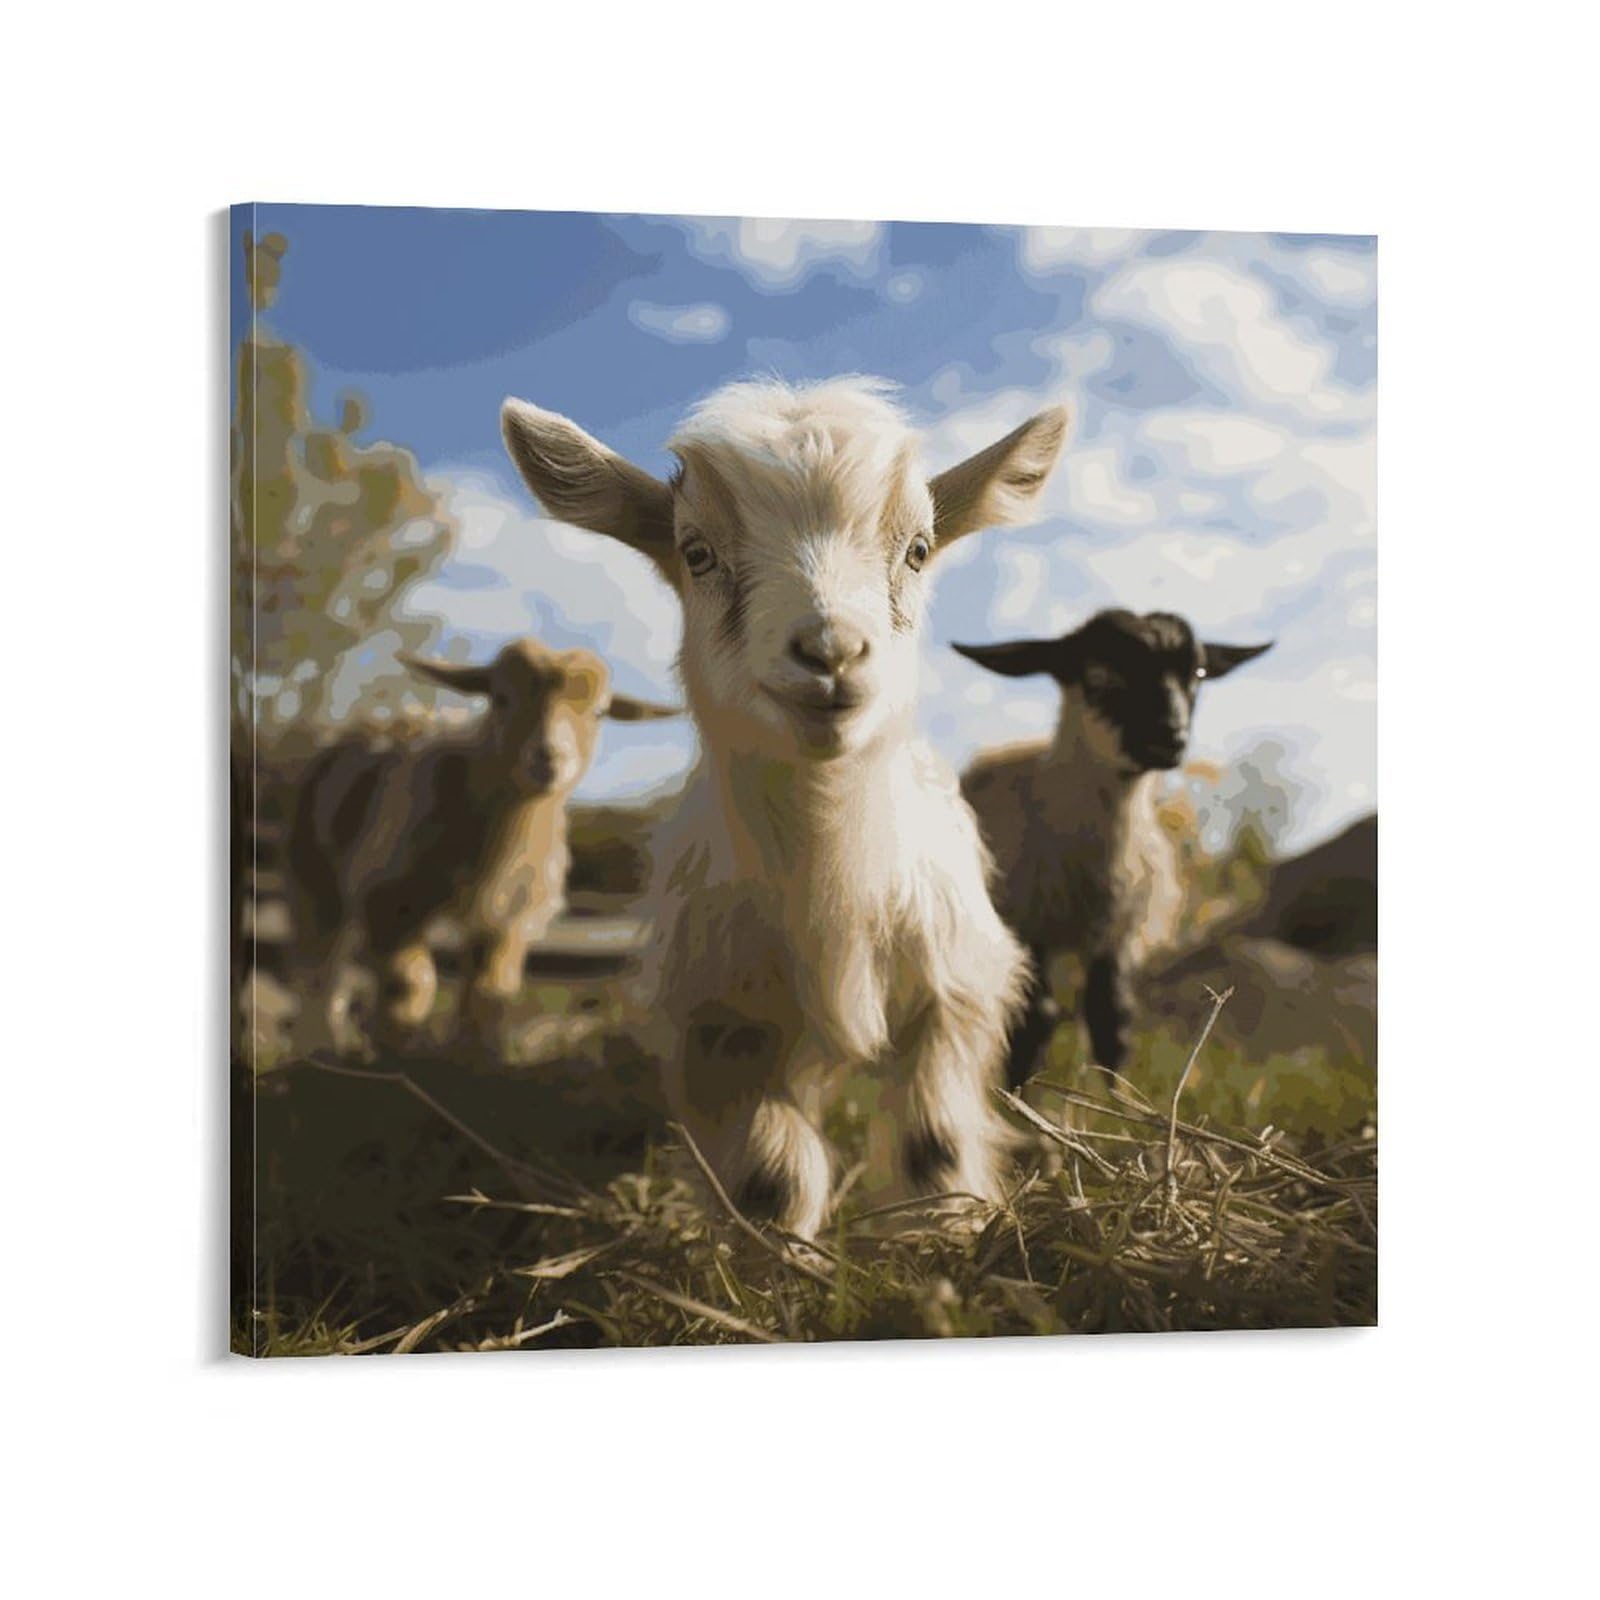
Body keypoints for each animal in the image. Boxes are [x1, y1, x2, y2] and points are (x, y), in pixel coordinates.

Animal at [284, 637, 678, 1055]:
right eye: (500, 698)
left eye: (601, 712)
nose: (549, 759)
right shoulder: (389, 898)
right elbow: (411, 984)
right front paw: (397, 1045)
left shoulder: (508, 916)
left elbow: (488, 989)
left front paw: (470, 1051)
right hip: (311, 877)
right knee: (318, 970)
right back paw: (321, 1043)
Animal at [500, 378, 1069, 1237]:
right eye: (696, 551)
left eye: (919, 549)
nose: (830, 655)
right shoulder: (724, 1021)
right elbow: (771, 1178)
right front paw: (782, 1263)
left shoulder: (950, 989)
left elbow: (933, 1145)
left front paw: (940, 1237)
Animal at [955, 609, 1271, 1083]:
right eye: (1099, 674)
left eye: (1197, 674)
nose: (1171, 737)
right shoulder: (1028, 923)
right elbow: (1033, 1022)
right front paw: (1015, 1099)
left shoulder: (1119, 932)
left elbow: (1112, 1021)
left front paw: (1120, 1102)